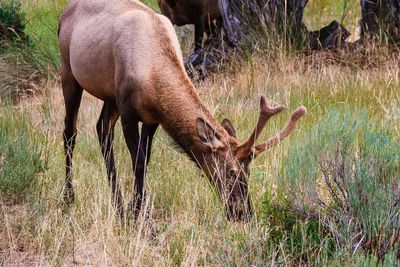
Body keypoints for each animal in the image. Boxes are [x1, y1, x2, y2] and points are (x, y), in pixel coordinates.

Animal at [57, 0, 304, 222]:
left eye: (248, 172)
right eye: (231, 171)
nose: (244, 213)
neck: (153, 79)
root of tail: (64, 12)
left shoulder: (152, 118)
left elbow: (145, 160)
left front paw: (134, 209)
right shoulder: (128, 111)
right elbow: (137, 162)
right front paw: (142, 219)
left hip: (110, 96)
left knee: (101, 129)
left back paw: (117, 206)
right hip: (69, 72)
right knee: (70, 132)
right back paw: (68, 197)